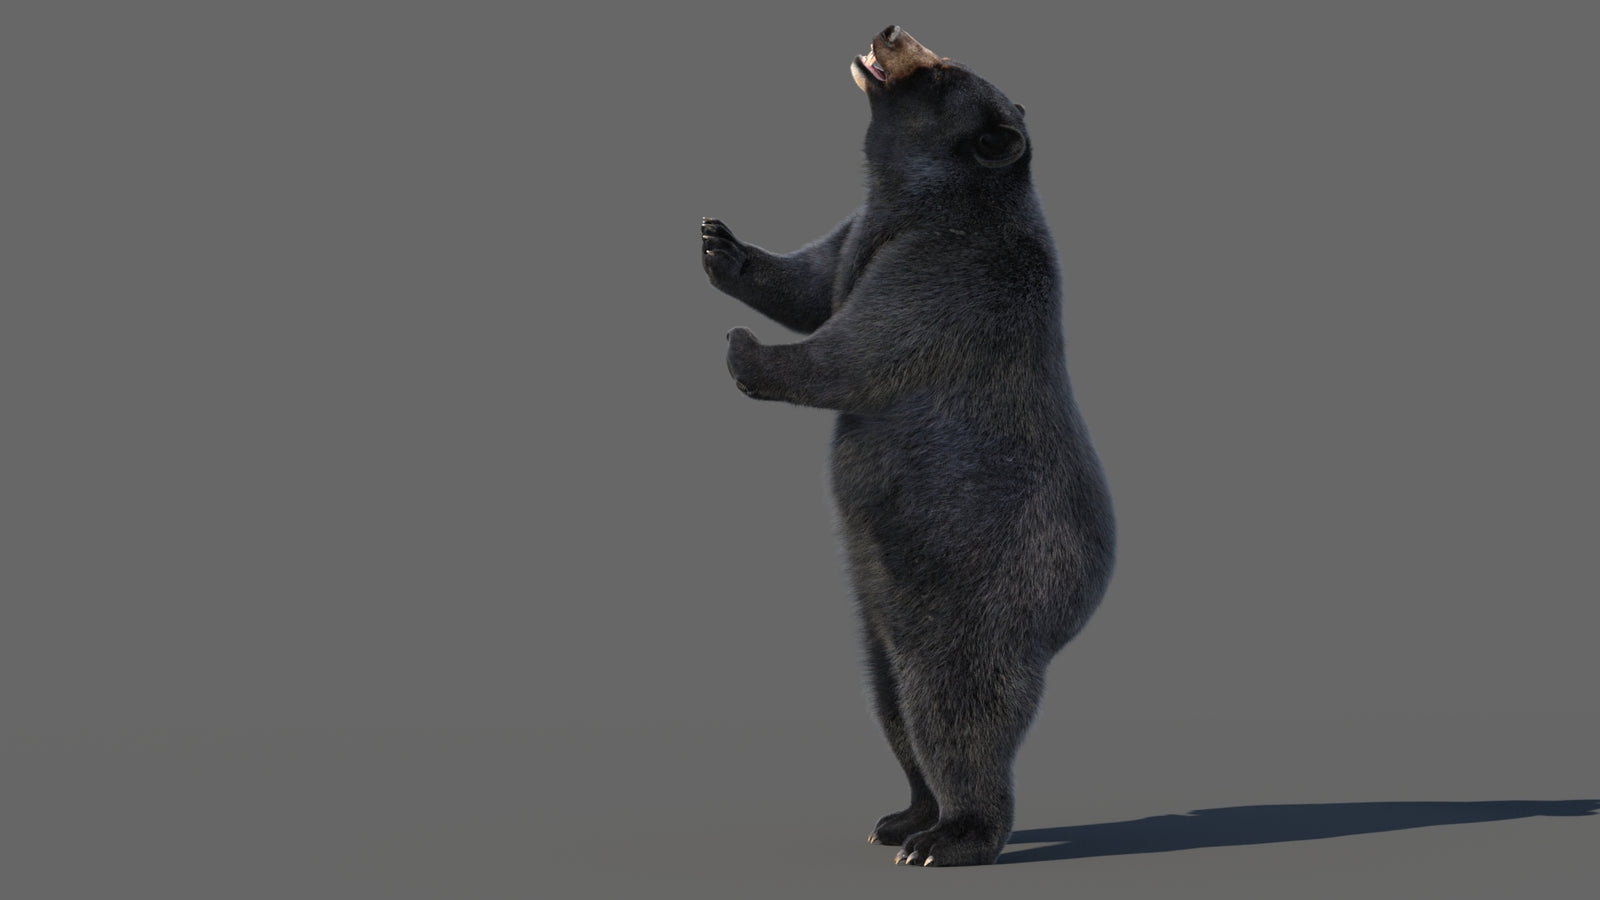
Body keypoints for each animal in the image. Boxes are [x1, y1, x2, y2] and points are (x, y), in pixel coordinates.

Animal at [700, 25, 1115, 868]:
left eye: (943, 68)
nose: (890, 31)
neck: (916, 199)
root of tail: (1079, 605)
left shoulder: (948, 269)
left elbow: (860, 346)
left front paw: (744, 349)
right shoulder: (861, 231)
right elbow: (812, 282)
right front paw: (721, 246)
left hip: (979, 594)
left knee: (954, 709)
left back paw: (952, 835)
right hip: (878, 609)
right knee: (890, 700)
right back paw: (902, 816)